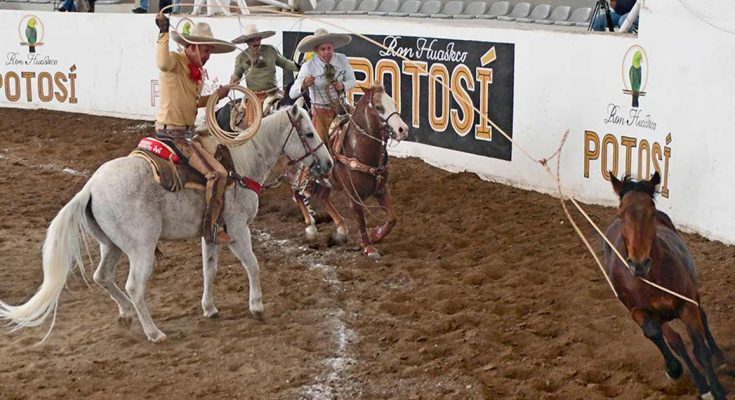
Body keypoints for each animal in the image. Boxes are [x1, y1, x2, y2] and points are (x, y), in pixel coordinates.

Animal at [0, 104, 330, 342]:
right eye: (309, 134)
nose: (327, 164)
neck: (241, 165)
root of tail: (90, 188)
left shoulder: (211, 234)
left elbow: (209, 271)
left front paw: (210, 308)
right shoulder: (238, 230)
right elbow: (253, 265)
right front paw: (257, 307)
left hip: (112, 246)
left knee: (102, 276)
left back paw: (125, 315)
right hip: (141, 248)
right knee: (134, 286)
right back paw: (154, 332)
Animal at [292, 85, 408, 258]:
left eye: (393, 103)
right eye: (379, 107)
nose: (403, 130)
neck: (358, 149)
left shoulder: (381, 189)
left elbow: (392, 218)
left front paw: (375, 234)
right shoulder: (353, 197)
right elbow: (361, 220)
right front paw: (368, 247)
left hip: (327, 181)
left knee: (322, 197)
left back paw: (341, 229)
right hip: (298, 172)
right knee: (297, 193)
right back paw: (311, 226)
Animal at [604, 173, 732, 400]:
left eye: (652, 211)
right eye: (620, 213)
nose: (638, 264)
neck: (652, 279)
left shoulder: (687, 305)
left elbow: (700, 349)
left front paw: (717, 390)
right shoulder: (639, 311)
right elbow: (657, 335)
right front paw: (675, 370)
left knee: (703, 319)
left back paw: (718, 357)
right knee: (676, 342)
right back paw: (699, 382)